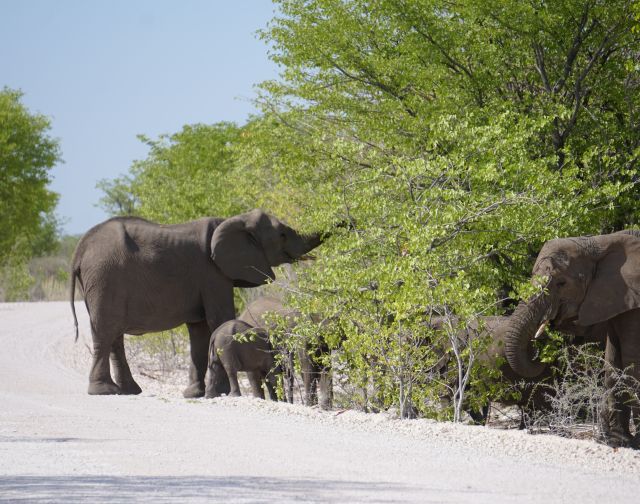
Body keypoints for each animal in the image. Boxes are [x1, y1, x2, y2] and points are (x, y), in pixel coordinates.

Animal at [70, 209, 324, 398]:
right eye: (282, 234)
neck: (232, 220)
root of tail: (80, 249)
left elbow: (200, 330)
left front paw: (195, 394)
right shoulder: (212, 273)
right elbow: (218, 319)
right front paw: (220, 392)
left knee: (114, 335)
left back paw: (129, 391)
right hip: (105, 277)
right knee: (106, 331)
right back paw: (104, 391)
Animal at [498, 230, 640, 446]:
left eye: (561, 283)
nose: (537, 348)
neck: (602, 242)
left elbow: (633, 365)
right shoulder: (615, 300)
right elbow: (613, 365)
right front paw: (618, 442)